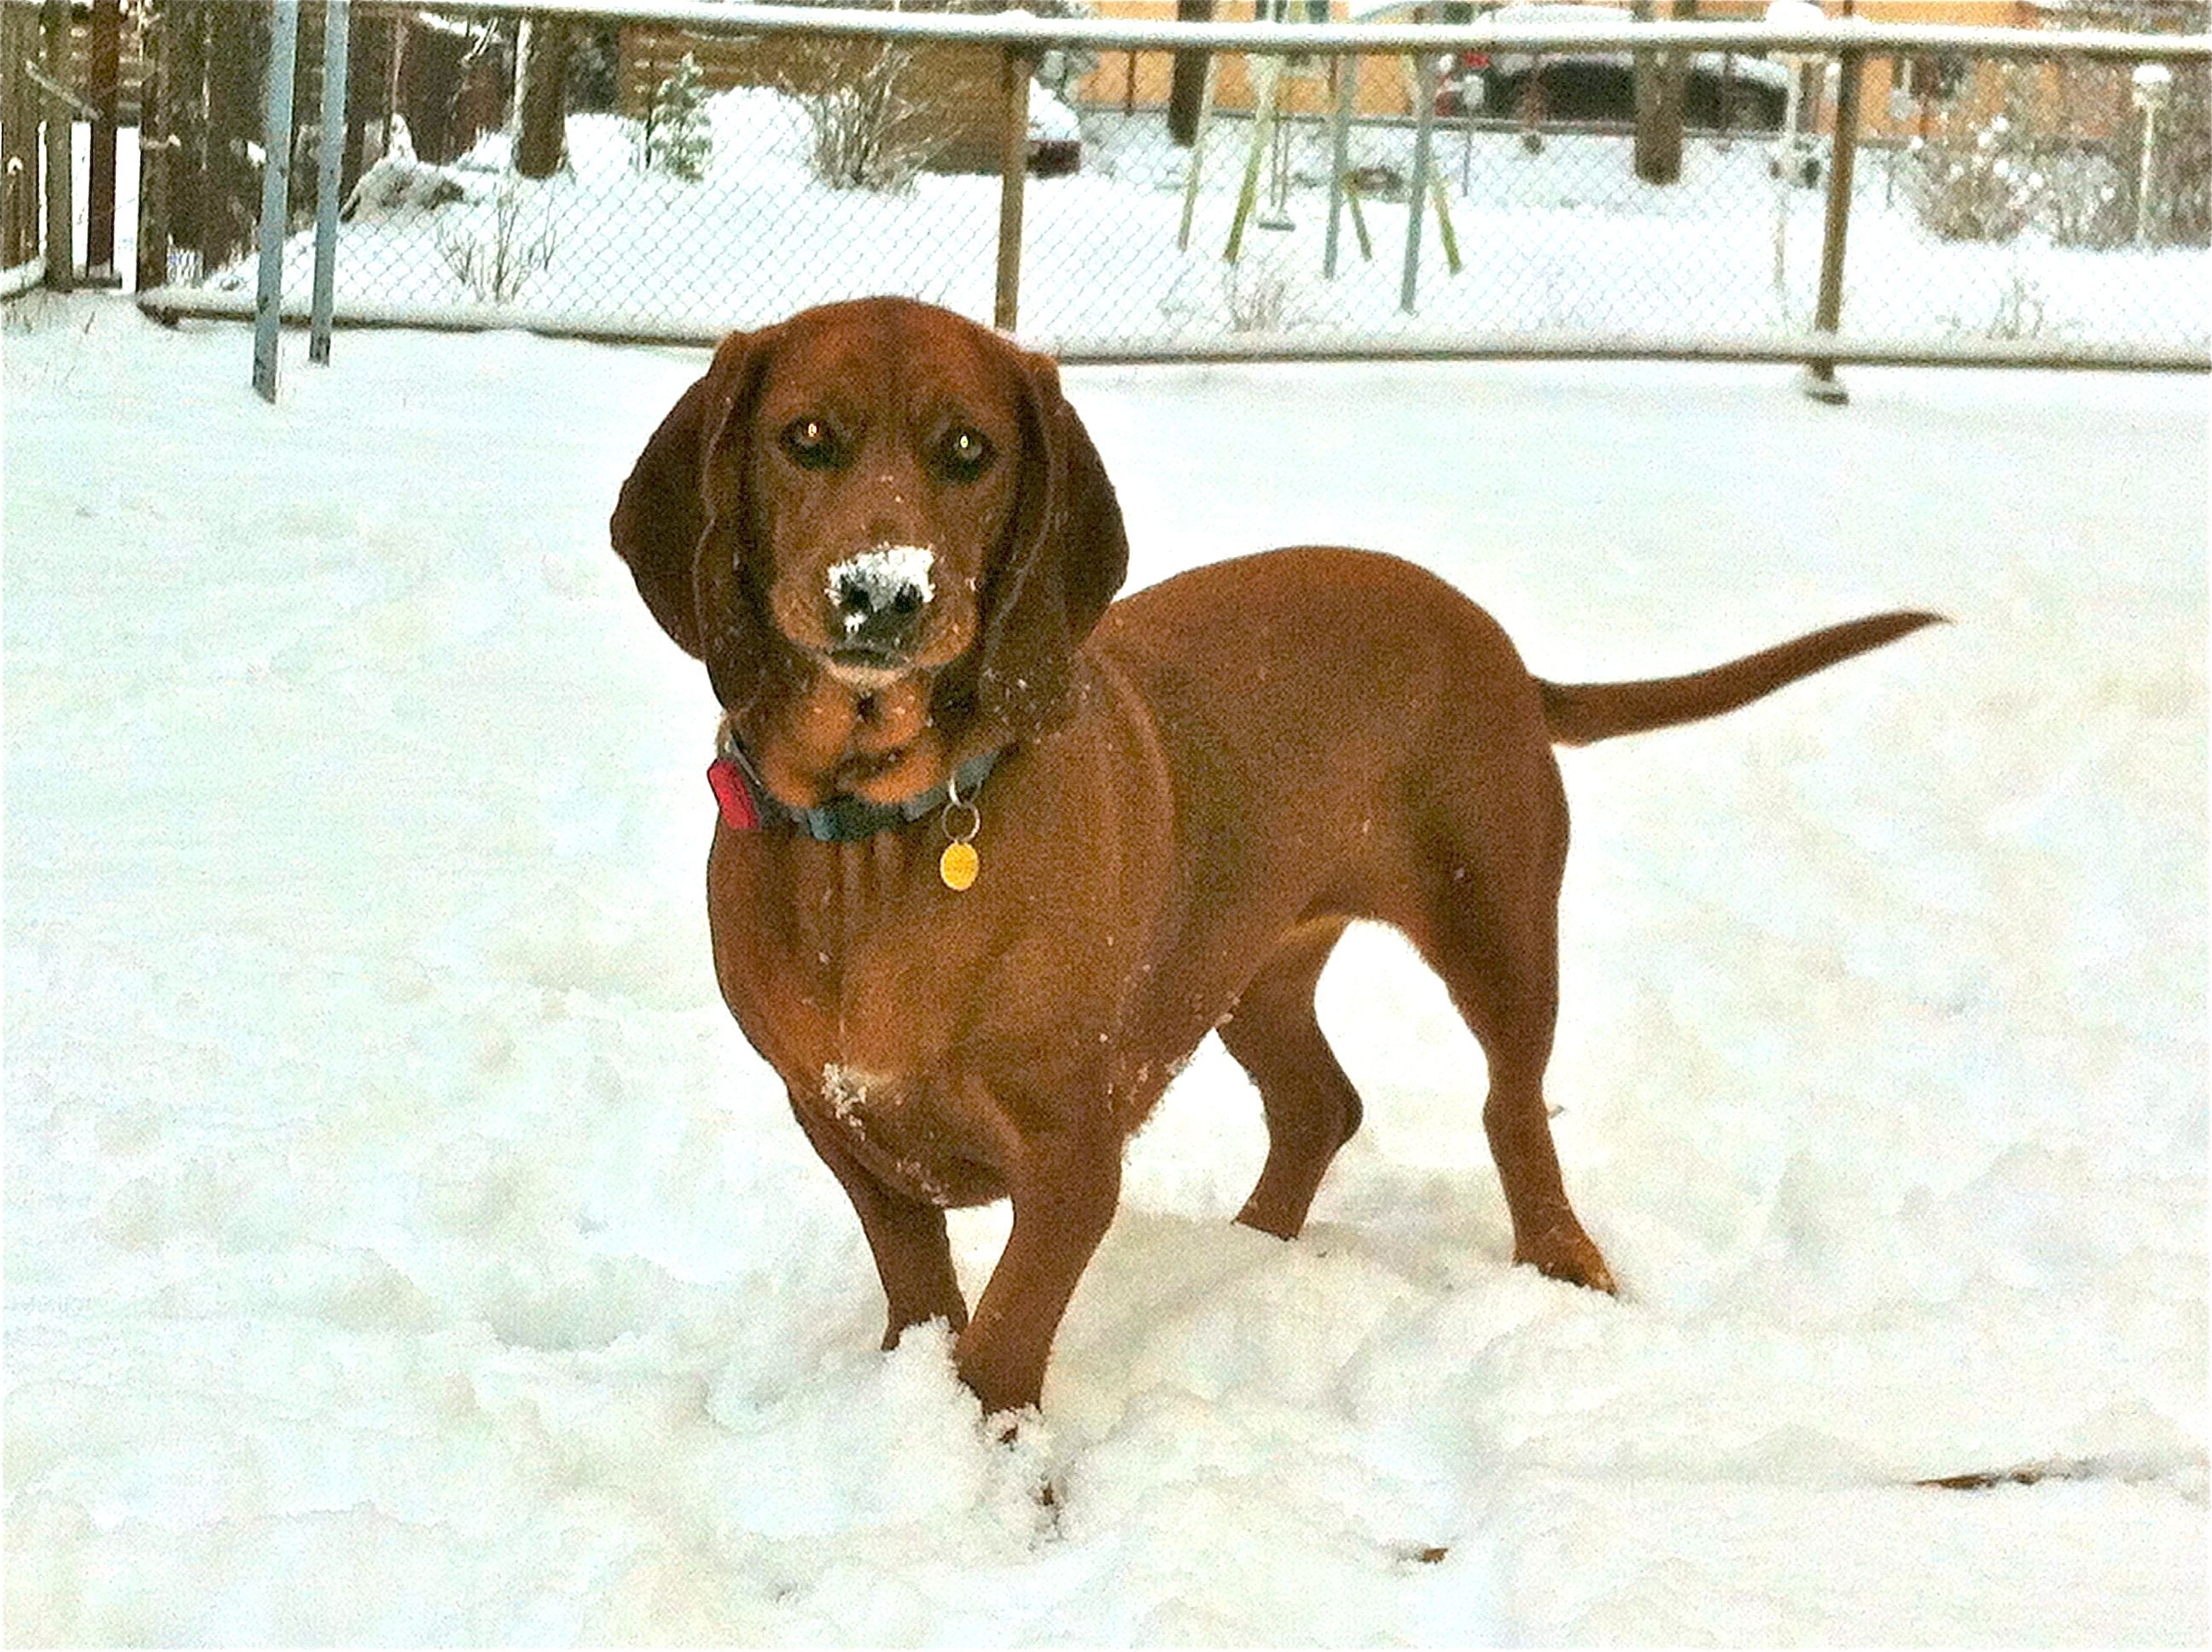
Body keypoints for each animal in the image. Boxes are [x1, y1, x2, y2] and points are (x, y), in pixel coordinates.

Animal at [610, 300, 1937, 1424]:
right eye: (806, 438)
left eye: (969, 452)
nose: (882, 593)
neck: (877, 837)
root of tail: (1503, 650)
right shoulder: (838, 1121)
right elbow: (922, 1296)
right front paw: (915, 1415)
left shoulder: (1071, 1157)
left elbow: (1003, 1340)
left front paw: (996, 1469)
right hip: (1248, 961)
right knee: (1321, 1105)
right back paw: (1245, 1252)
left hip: (1495, 923)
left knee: (1513, 1111)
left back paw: (1563, 1265)